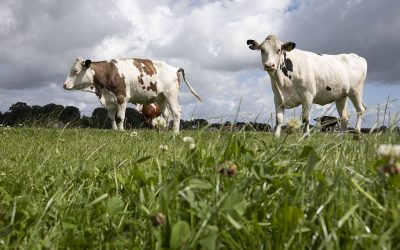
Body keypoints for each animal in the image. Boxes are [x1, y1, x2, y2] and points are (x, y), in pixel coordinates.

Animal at [64, 57, 202, 134]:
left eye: (75, 71)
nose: (64, 85)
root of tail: (174, 68)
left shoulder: (122, 96)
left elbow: (120, 117)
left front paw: (121, 131)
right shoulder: (110, 100)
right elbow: (111, 117)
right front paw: (114, 130)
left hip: (171, 95)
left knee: (176, 112)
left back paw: (175, 132)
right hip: (162, 98)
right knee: (166, 114)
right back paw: (163, 131)